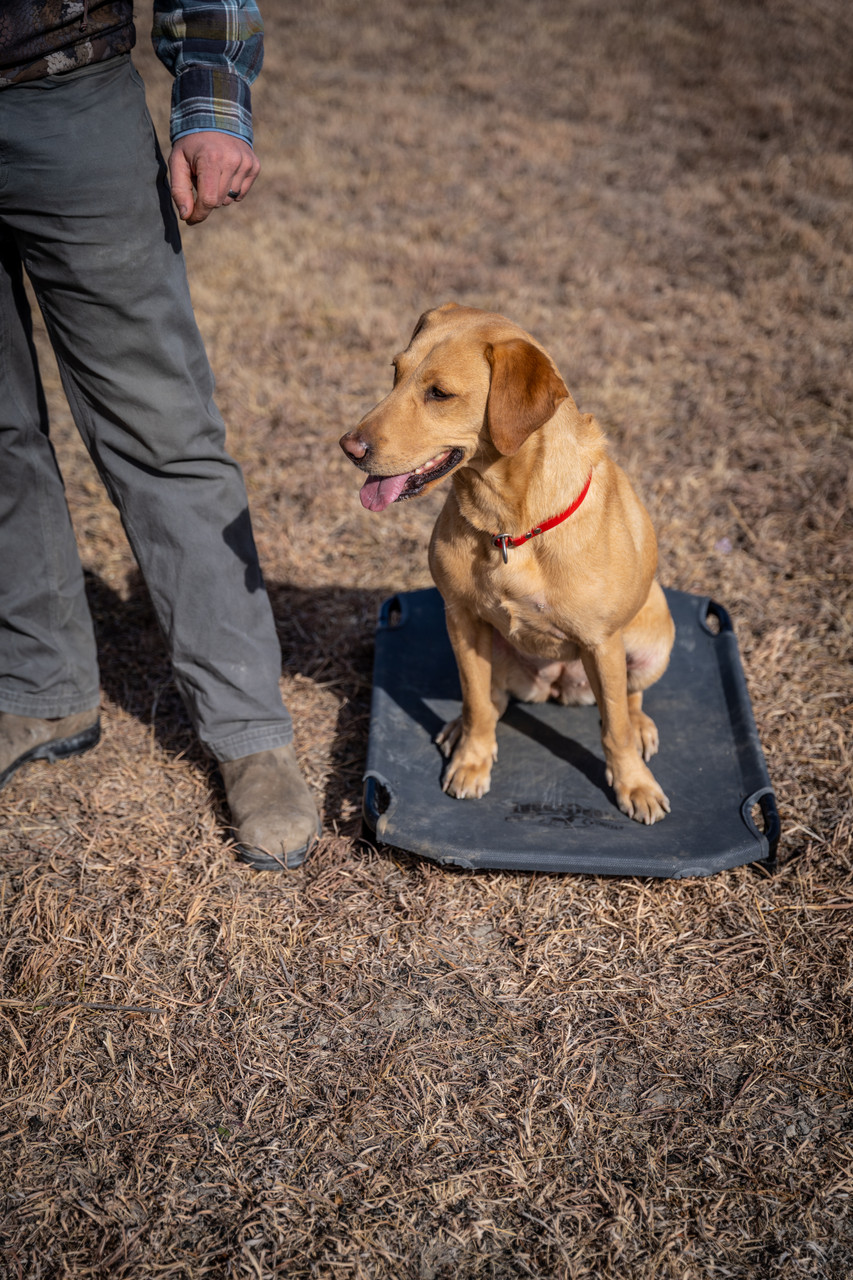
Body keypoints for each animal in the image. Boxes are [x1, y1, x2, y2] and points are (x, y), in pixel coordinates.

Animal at [338, 302, 671, 819]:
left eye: (439, 393)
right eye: (395, 372)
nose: (349, 448)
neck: (511, 524)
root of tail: (555, 685)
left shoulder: (601, 643)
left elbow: (613, 727)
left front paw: (633, 783)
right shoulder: (462, 619)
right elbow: (476, 701)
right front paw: (472, 759)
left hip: (653, 642)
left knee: (629, 697)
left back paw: (639, 728)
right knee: (489, 697)